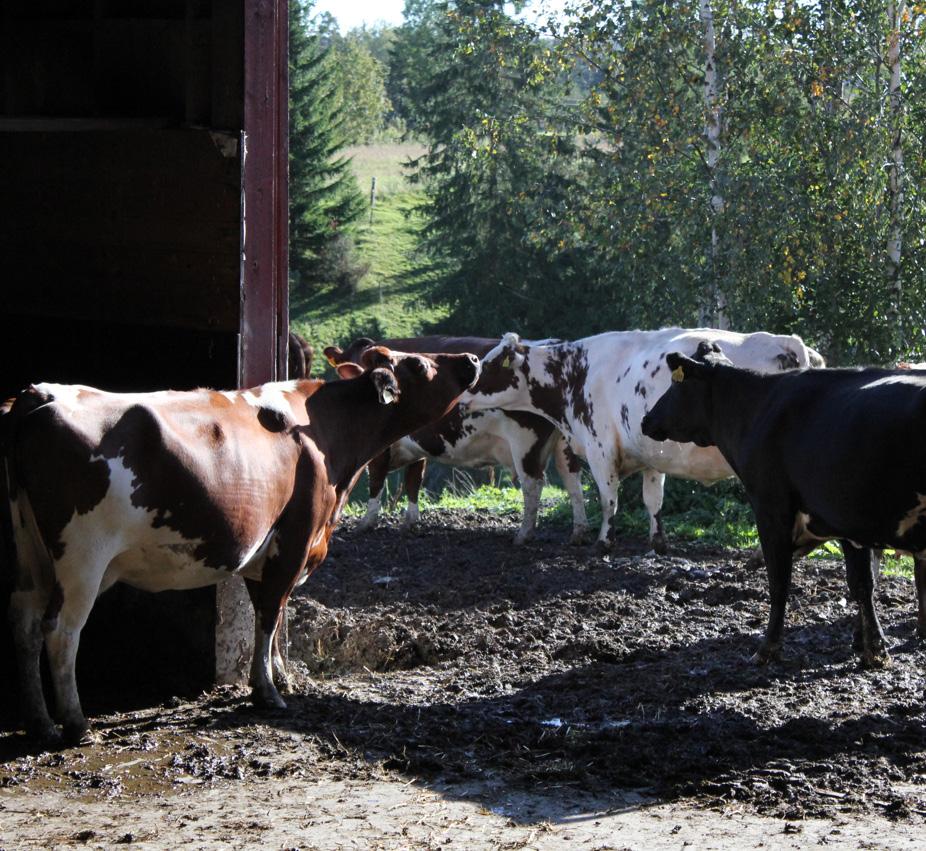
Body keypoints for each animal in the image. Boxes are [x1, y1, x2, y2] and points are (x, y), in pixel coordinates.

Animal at [5, 346, 486, 744]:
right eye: (419, 364)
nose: (471, 359)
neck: (325, 431)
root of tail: (39, 394)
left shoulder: (271, 549)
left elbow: (269, 614)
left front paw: (281, 675)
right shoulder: (295, 538)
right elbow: (271, 613)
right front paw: (267, 691)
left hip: (31, 555)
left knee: (25, 625)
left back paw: (40, 723)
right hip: (83, 557)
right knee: (61, 630)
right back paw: (76, 724)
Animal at [322, 334, 592, 544]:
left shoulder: (382, 447)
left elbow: (376, 479)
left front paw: (367, 522)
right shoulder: (417, 443)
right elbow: (413, 481)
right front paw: (409, 521)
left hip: (525, 442)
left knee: (533, 484)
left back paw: (524, 534)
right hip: (564, 442)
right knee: (572, 479)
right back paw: (578, 532)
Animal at [464, 326, 828, 552]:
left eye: (492, 364)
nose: (462, 395)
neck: (577, 371)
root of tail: (788, 341)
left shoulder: (600, 448)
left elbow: (609, 499)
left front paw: (603, 542)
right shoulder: (652, 455)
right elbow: (654, 501)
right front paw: (658, 542)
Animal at [640, 342, 926, 668]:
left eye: (677, 384)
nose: (646, 420)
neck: (756, 410)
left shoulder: (771, 507)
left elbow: (779, 580)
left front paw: (767, 648)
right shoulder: (845, 520)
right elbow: (862, 585)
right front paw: (874, 650)